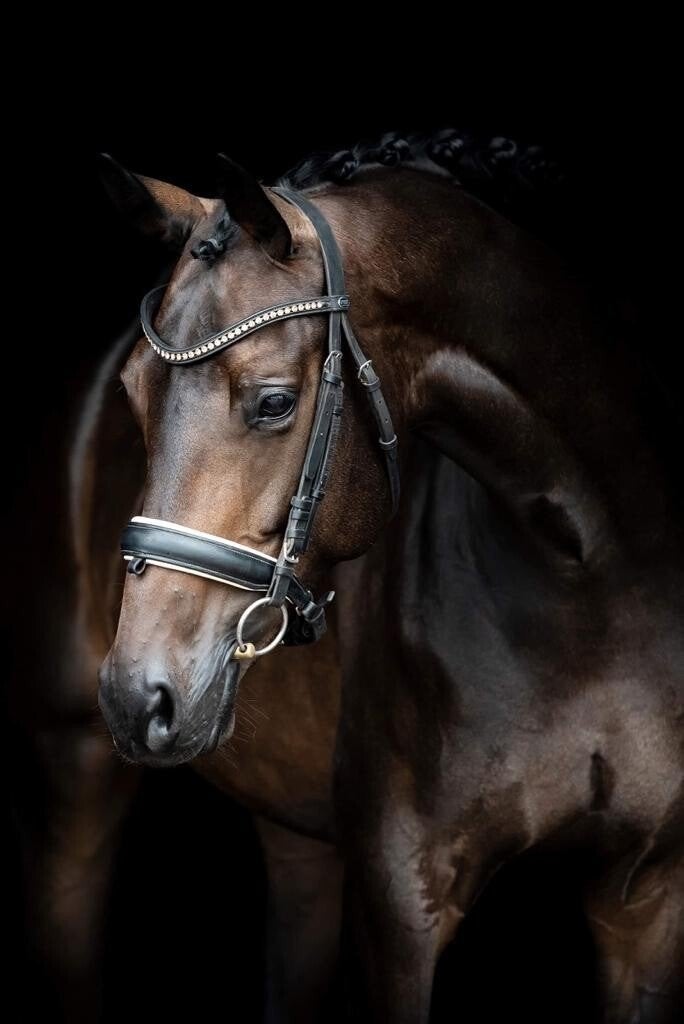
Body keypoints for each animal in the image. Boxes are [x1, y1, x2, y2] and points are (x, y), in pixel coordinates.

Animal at [96, 135, 684, 1024]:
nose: (138, 697)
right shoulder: (399, 906)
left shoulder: (646, 902)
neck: (590, 577)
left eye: (274, 402)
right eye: (131, 391)